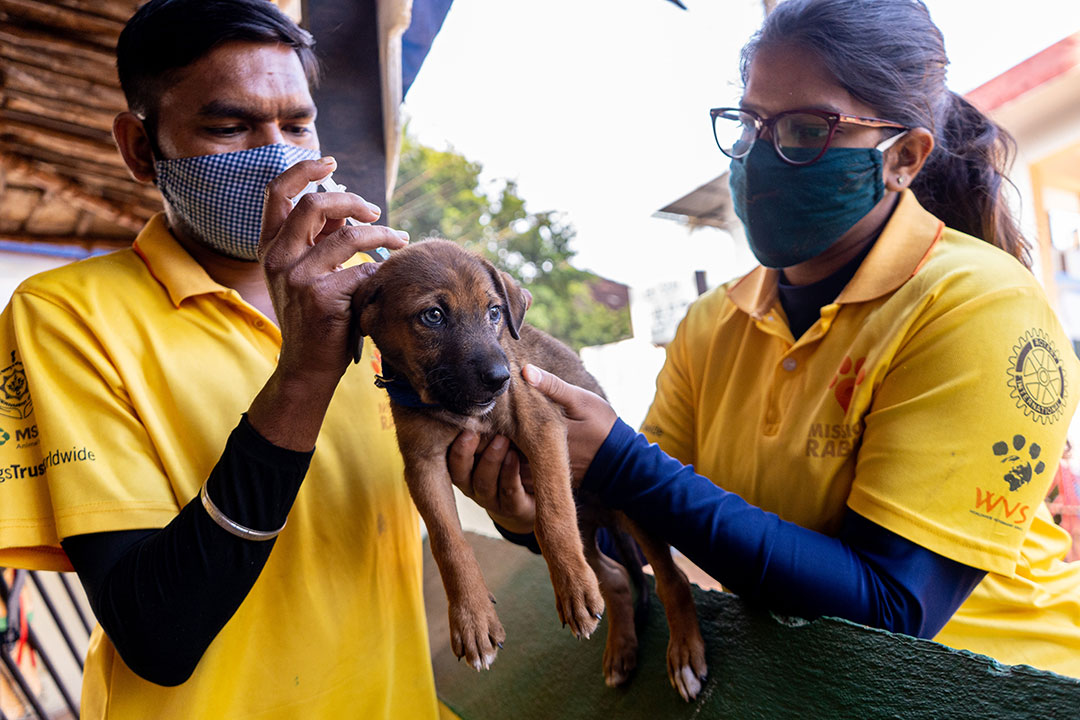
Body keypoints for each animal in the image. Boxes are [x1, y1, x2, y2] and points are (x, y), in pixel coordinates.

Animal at [352, 240, 708, 699]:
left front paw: (572, 586)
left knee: (671, 578)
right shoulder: (422, 466)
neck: (456, 407)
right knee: (614, 579)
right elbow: (448, 542)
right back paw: (620, 650)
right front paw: (472, 618)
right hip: (591, 527)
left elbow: (552, 515)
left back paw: (682, 653)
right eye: (433, 316)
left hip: (630, 503)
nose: (500, 378)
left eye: (494, 312)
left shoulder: (541, 425)